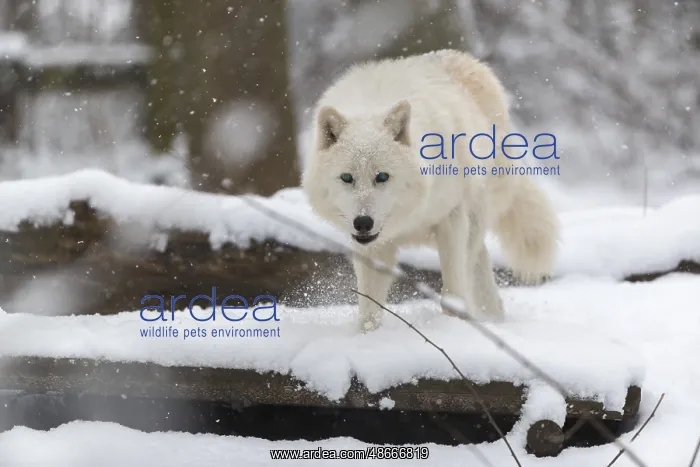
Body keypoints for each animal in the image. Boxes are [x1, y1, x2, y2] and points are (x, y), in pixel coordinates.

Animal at [302, 49, 560, 333]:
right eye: (347, 178)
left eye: (382, 177)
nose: (363, 223)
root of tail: (464, 58)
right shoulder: (372, 247)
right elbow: (370, 307)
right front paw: (368, 336)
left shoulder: (451, 220)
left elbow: (453, 292)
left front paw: (452, 327)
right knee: (481, 262)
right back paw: (493, 317)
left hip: (474, 217)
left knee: (472, 263)